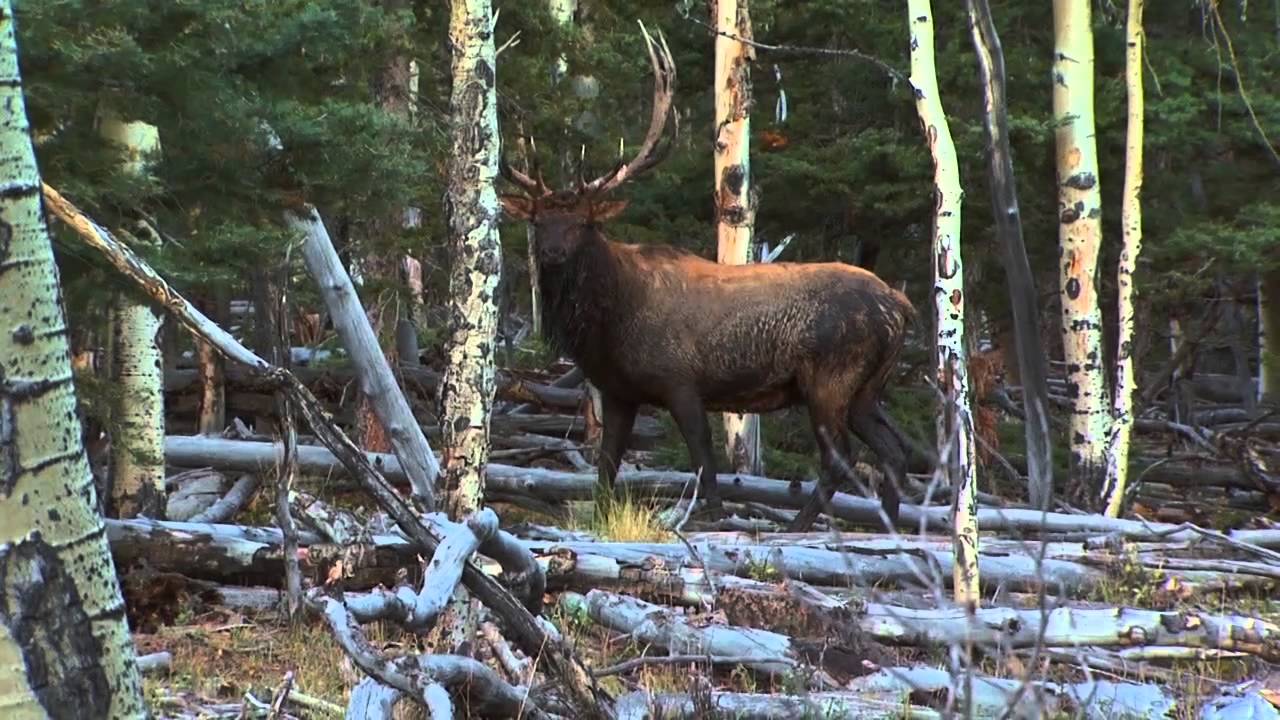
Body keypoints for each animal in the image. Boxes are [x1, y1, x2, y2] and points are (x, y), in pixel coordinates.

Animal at [498, 23, 915, 531]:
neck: (607, 322)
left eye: (584, 222)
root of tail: (901, 306)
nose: (552, 252)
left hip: (831, 377)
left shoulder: (680, 379)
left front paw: (712, 515)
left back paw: (799, 526)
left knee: (842, 456)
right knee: (895, 449)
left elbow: (702, 456)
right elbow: (606, 466)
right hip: (868, 388)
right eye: (539, 221)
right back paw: (890, 526)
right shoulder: (617, 392)